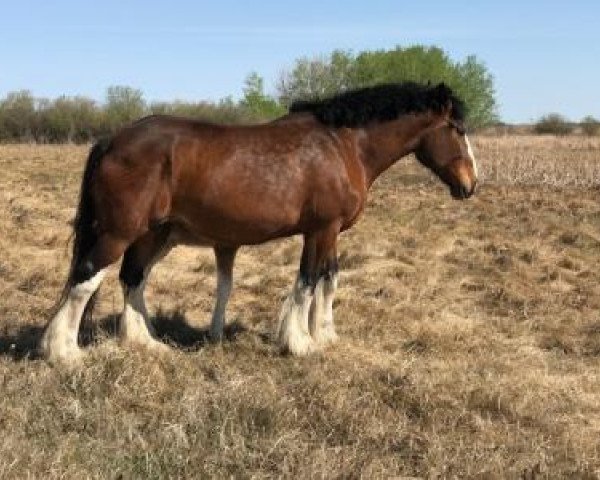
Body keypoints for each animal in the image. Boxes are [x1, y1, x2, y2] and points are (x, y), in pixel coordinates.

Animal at [39, 81, 478, 364]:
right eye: (457, 129)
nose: (471, 184)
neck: (342, 145)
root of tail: (112, 140)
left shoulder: (331, 232)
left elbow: (329, 279)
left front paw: (326, 335)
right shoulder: (320, 230)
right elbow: (307, 281)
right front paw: (300, 343)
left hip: (153, 234)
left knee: (132, 279)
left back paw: (146, 344)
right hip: (119, 232)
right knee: (86, 277)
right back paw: (64, 353)